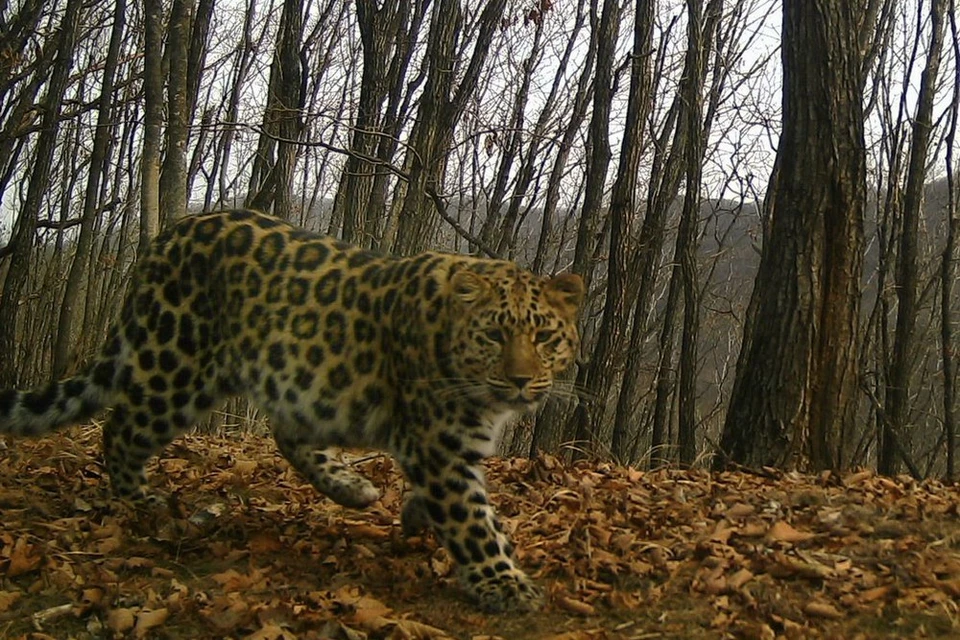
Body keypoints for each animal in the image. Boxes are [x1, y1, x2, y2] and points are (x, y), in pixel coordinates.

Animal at [0, 208, 584, 612]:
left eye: (544, 337)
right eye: (494, 336)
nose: (521, 380)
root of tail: (165, 237)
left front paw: (419, 516)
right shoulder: (438, 446)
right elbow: (471, 519)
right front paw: (504, 583)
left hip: (298, 381)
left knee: (286, 431)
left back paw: (352, 487)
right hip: (179, 368)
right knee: (121, 428)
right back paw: (141, 500)